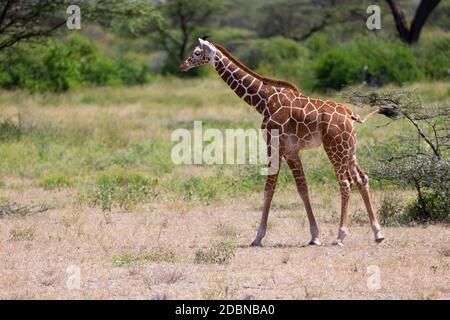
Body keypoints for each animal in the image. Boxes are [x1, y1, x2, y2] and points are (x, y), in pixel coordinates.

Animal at [180, 38, 394, 246]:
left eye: (197, 52)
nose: (183, 65)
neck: (264, 101)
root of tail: (351, 115)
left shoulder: (273, 144)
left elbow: (268, 188)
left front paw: (258, 237)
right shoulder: (291, 150)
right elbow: (302, 188)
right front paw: (314, 236)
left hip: (334, 148)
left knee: (345, 183)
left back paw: (340, 236)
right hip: (350, 149)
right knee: (362, 179)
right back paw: (378, 233)